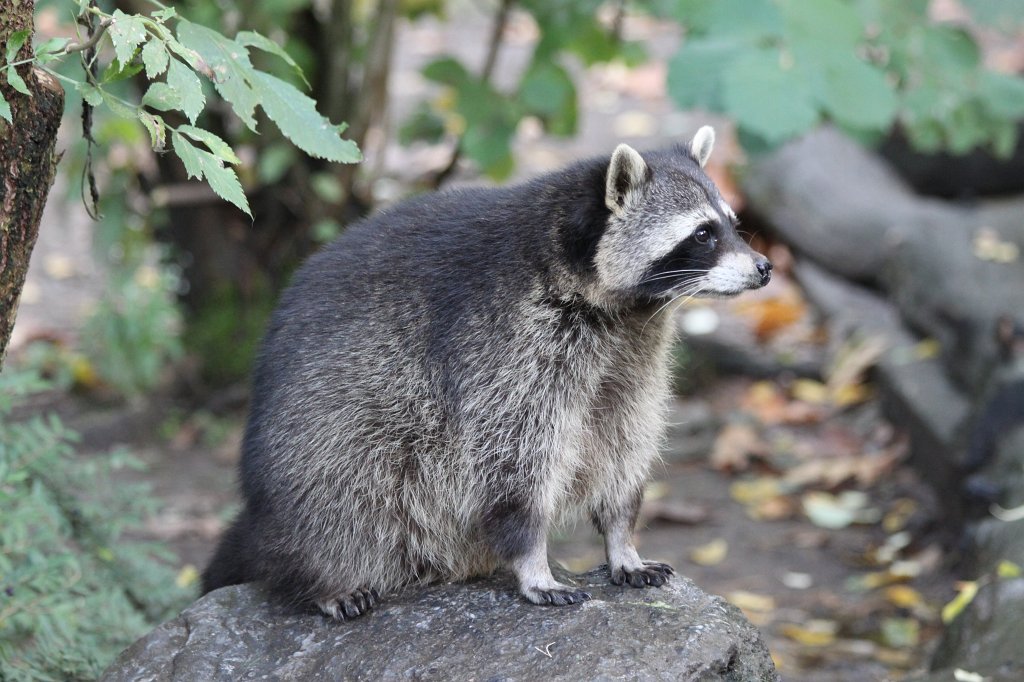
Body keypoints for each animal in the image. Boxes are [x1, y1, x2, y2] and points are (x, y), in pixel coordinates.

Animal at [202, 126, 771, 619]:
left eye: (733, 222)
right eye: (703, 234)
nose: (765, 267)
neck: (617, 303)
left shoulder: (632, 352)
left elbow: (622, 440)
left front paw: (620, 538)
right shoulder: (507, 347)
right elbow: (510, 464)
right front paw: (532, 562)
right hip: (317, 439)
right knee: (338, 492)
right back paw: (323, 577)